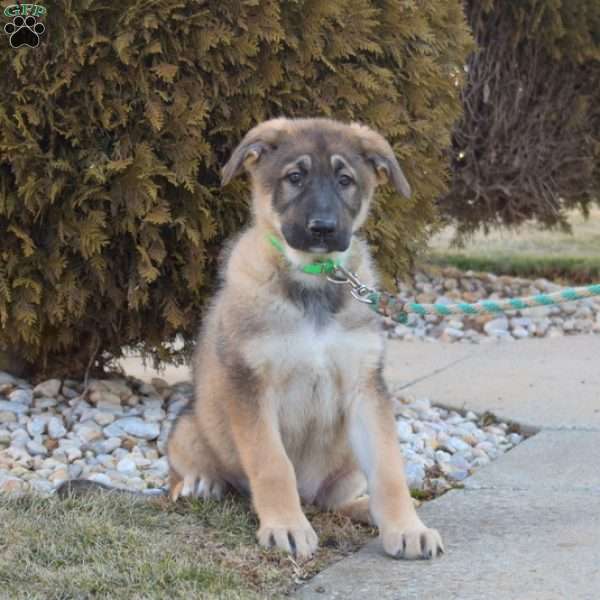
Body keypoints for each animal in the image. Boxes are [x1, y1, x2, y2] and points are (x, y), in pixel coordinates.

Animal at [166, 118, 442, 564]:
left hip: (346, 460)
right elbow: (272, 463)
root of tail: (311, 496)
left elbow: (388, 468)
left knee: (337, 500)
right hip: (189, 427)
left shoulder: (366, 388)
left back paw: (363, 509)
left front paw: (406, 528)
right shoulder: (250, 386)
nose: (323, 229)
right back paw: (200, 485)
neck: (314, 282)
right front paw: (286, 526)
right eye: (294, 177)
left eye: (345, 180)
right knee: (184, 471)